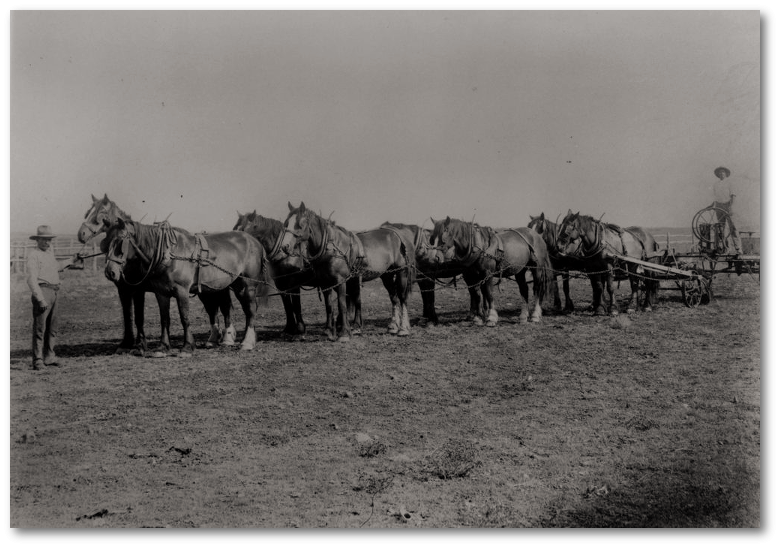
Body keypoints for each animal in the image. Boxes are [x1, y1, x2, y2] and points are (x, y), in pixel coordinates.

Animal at [103, 217, 268, 352]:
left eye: (120, 240)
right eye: (106, 241)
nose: (110, 272)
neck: (168, 255)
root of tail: (255, 242)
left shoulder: (180, 291)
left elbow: (184, 317)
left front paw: (187, 346)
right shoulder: (160, 293)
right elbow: (164, 319)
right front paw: (163, 347)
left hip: (246, 286)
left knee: (249, 310)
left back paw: (246, 342)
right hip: (218, 287)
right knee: (220, 309)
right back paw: (220, 340)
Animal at [280, 201, 414, 340]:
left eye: (299, 225)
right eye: (286, 223)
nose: (285, 247)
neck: (332, 248)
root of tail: (398, 235)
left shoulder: (341, 281)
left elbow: (342, 305)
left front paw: (344, 333)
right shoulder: (325, 283)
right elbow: (329, 306)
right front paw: (329, 331)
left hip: (401, 272)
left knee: (402, 298)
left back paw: (403, 329)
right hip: (386, 275)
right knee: (394, 298)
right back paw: (393, 327)